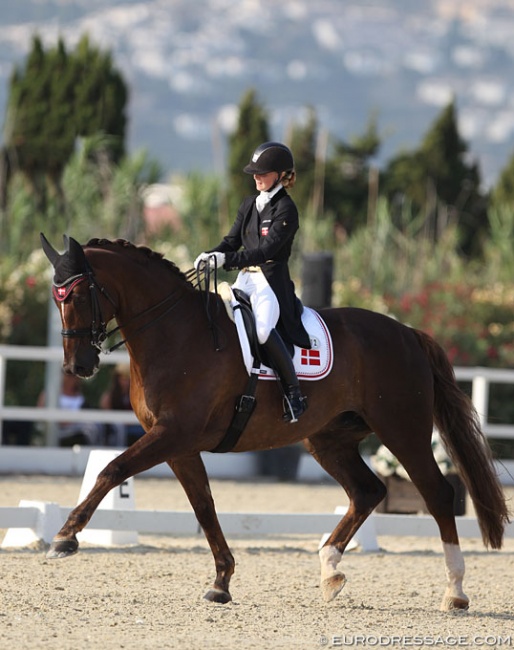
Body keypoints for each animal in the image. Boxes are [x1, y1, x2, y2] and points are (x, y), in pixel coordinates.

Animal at [41, 235, 508, 612]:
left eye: (76, 295)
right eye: (55, 297)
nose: (77, 366)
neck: (175, 332)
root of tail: (409, 333)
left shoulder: (172, 434)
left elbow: (111, 469)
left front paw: (65, 537)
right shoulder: (179, 444)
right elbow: (204, 506)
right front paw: (221, 582)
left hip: (402, 430)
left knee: (438, 493)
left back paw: (455, 592)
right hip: (328, 440)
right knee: (367, 491)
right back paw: (330, 572)